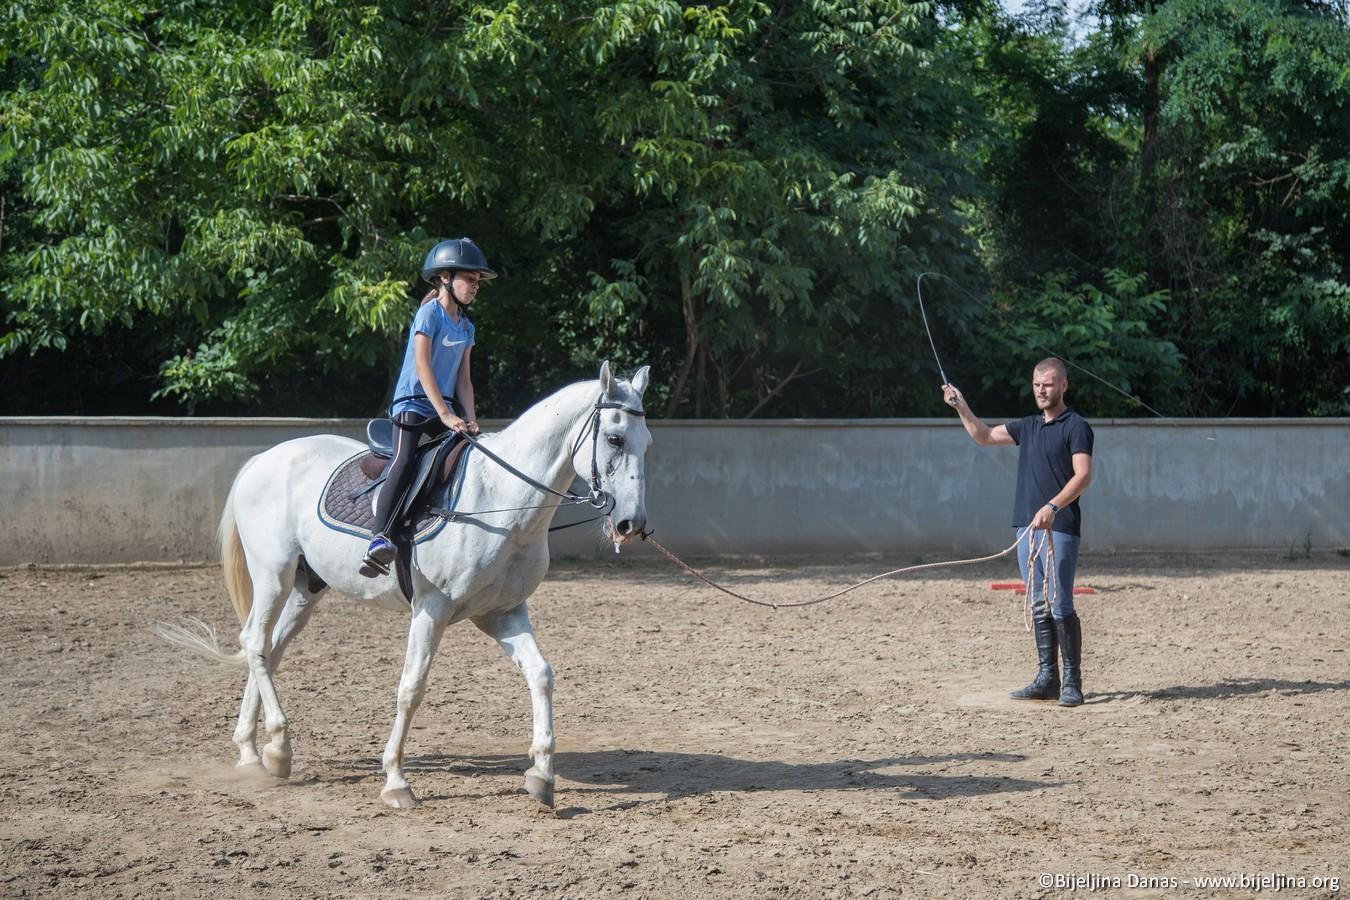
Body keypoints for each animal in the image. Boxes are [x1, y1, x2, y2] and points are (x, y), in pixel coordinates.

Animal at [157, 361, 653, 809]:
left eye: (646, 442)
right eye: (614, 438)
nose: (631, 525)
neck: (501, 499)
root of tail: (266, 458)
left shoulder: (502, 614)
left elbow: (541, 675)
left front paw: (542, 776)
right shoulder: (431, 610)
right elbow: (411, 688)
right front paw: (396, 781)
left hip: (304, 587)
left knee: (269, 650)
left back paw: (251, 753)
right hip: (272, 574)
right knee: (256, 643)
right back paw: (278, 747)